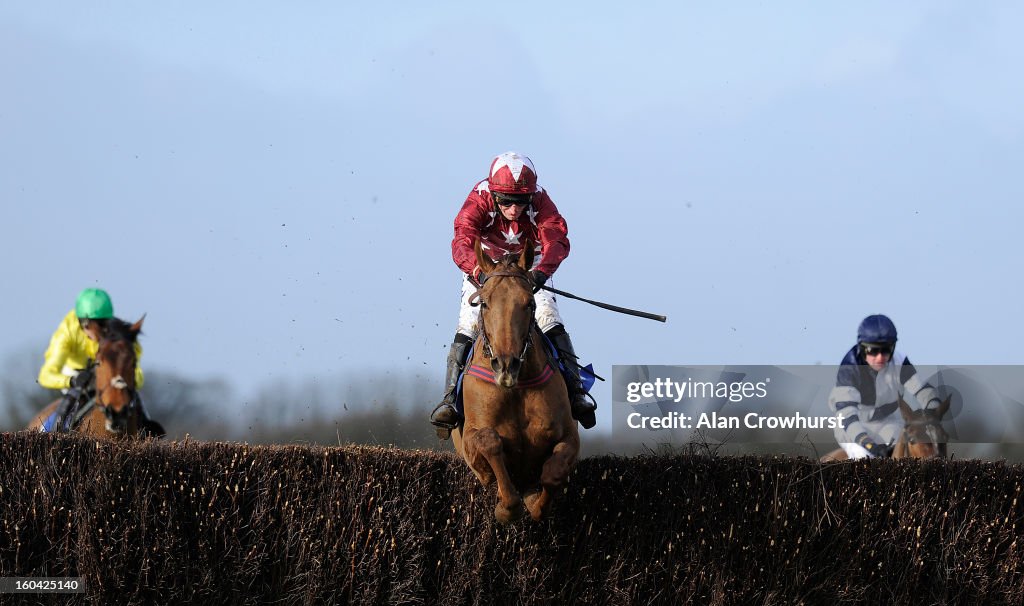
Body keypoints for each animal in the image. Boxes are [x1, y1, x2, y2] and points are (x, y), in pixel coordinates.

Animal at [452, 239, 581, 524]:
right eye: (484, 303)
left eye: (530, 303)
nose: (506, 365)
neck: (516, 388)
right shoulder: (470, 439)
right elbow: (489, 441)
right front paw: (505, 506)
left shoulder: (569, 435)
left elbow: (553, 473)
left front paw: (535, 503)